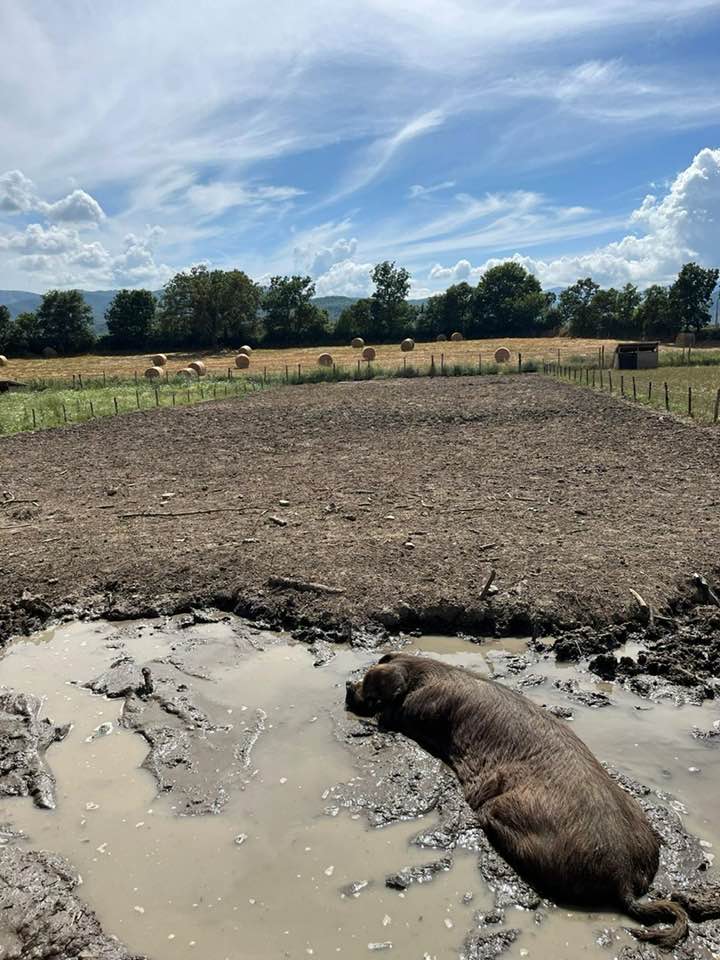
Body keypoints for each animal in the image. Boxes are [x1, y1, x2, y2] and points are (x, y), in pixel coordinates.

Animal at [346, 648, 716, 948]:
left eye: (369, 685)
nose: (348, 686)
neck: (422, 673)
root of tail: (623, 877)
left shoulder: (420, 707)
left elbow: (395, 715)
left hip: (513, 813)